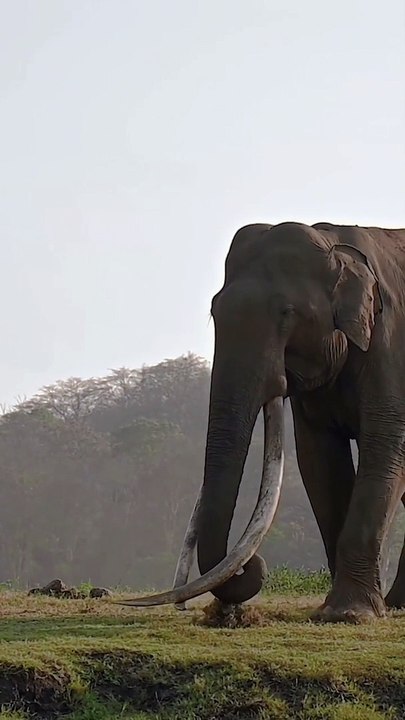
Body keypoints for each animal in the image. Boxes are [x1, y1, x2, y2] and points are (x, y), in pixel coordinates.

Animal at [122, 221, 405, 623]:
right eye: (214, 311)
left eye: (287, 312)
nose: (251, 566)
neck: (334, 241)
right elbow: (319, 462)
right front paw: (336, 610)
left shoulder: (392, 347)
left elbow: (384, 447)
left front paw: (349, 614)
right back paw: (398, 604)